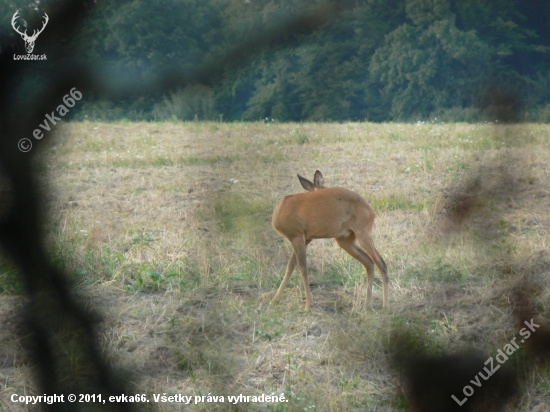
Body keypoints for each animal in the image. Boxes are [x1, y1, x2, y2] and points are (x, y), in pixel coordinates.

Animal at [274, 170, 390, 308]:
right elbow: (291, 266)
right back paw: (367, 305)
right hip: (345, 240)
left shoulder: (297, 237)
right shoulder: (304, 239)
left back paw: (384, 307)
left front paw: (308, 305)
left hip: (363, 235)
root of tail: (370, 211)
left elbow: (302, 268)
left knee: (381, 263)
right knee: (369, 262)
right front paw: (274, 299)